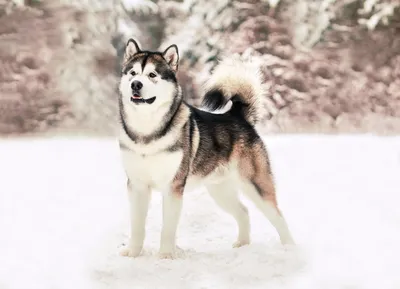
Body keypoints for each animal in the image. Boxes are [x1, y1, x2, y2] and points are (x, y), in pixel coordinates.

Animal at [115, 37, 294, 258]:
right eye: (132, 73)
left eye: (152, 75)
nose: (136, 85)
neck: (146, 131)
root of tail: (237, 115)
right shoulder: (137, 185)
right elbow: (137, 224)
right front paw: (133, 252)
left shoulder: (173, 186)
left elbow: (168, 227)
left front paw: (165, 255)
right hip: (220, 191)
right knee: (244, 211)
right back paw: (243, 243)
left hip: (256, 184)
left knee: (277, 215)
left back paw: (290, 247)